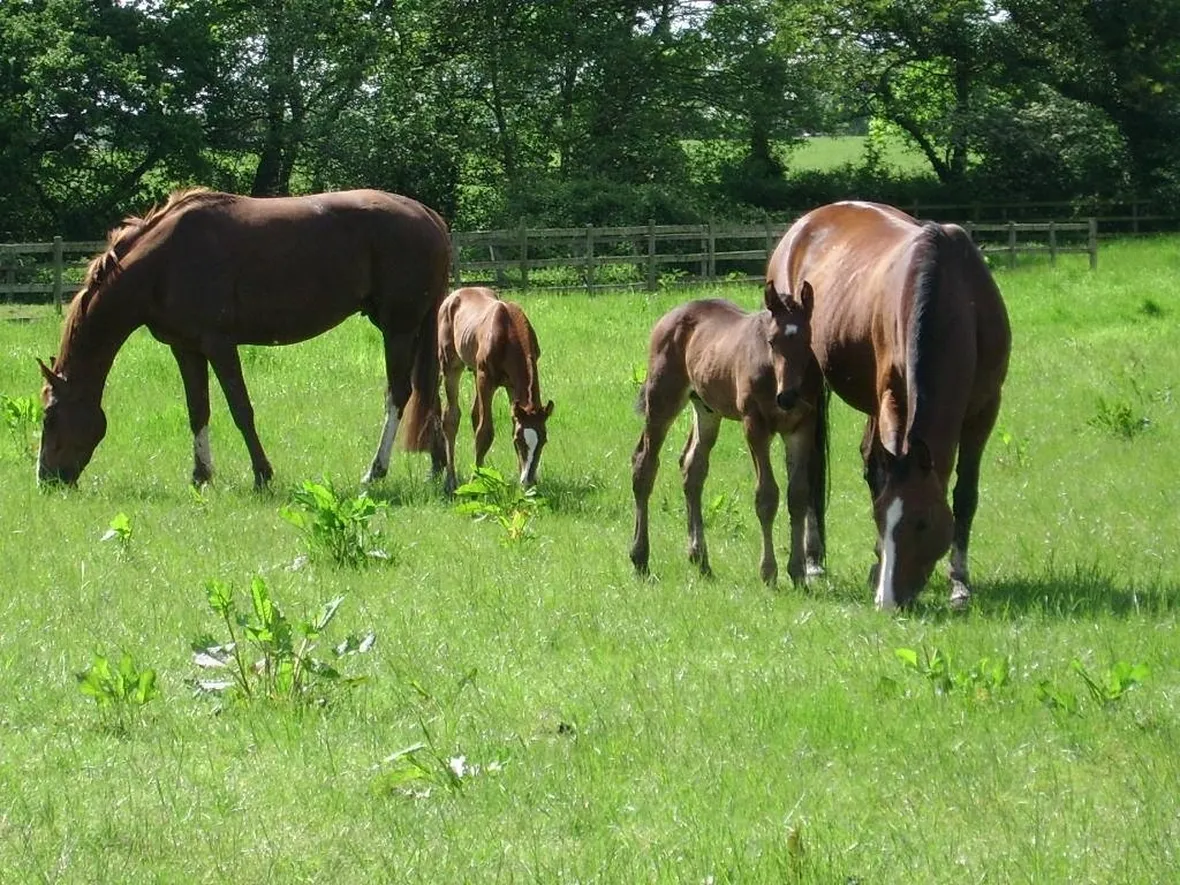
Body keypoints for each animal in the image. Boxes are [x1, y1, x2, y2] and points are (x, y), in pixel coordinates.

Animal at [36, 188, 450, 488]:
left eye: (49, 416)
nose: (46, 479)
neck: (164, 263)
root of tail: (428, 217)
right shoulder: (185, 349)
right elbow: (198, 411)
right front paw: (200, 476)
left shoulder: (219, 345)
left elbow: (241, 410)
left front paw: (262, 474)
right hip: (416, 328)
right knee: (429, 391)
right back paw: (438, 470)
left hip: (398, 329)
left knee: (399, 395)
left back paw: (375, 471)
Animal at [437, 286, 553, 494]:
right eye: (519, 440)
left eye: (543, 440)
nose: (528, 481)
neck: (509, 330)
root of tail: (453, 294)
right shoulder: (486, 379)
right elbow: (485, 433)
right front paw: (476, 480)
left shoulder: (512, 386)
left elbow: (510, 422)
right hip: (452, 365)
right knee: (451, 418)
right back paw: (451, 480)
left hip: (475, 371)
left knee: (474, 414)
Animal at [629, 282, 827, 586]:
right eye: (772, 342)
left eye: (807, 341)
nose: (788, 398)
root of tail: (669, 316)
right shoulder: (754, 425)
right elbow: (767, 496)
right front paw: (768, 572)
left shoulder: (801, 428)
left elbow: (798, 495)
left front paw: (797, 573)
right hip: (662, 398)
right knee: (645, 462)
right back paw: (640, 557)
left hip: (706, 409)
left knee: (692, 468)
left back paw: (700, 559)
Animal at [767, 200, 1011, 610]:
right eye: (879, 518)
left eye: (922, 523)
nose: (889, 601)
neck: (955, 295)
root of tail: (803, 226)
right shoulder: (893, 400)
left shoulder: (984, 411)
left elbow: (965, 495)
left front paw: (959, 583)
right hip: (809, 388)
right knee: (813, 466)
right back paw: (814, 561)